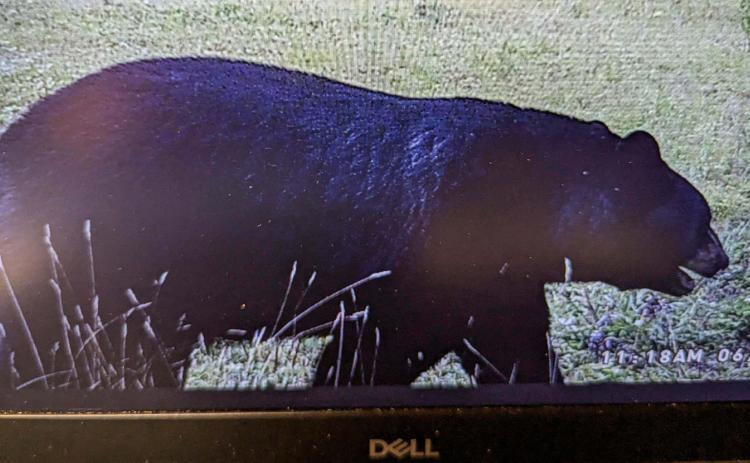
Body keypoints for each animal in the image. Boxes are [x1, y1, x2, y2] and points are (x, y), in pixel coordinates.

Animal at [0, 57, 729, 386]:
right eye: (702, 219)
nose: (722, 258)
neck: (528, 193)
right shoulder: (432, 258)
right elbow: (378, 349)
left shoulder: (495, 280)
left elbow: (511, 344)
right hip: (94, 265)